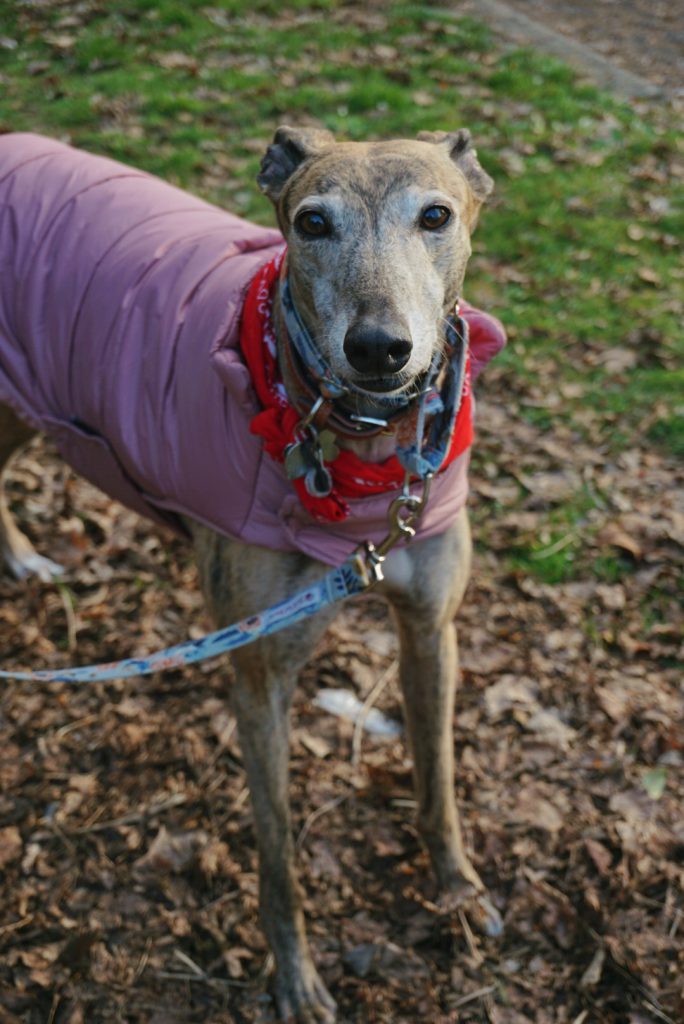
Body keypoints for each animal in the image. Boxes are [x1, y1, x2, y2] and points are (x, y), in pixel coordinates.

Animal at [0, 125, 501, 1015]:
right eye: (311, 222)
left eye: (437, 214)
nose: (380, 348)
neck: (368, 463)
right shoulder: (260, 675)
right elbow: (279, 855)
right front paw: (295, 978)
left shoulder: (430, 630)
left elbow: (437, 779)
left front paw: (458, 889)